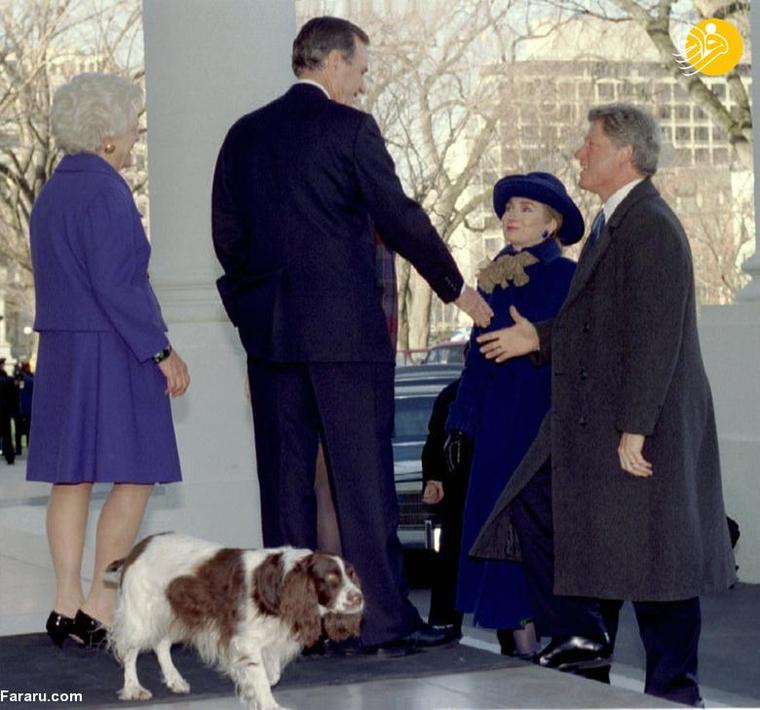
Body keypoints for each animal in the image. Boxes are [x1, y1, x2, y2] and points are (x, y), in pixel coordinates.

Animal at [105, 536, 364, 710]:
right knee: (129, 652)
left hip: (175, 614)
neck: (281, 582)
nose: (358, 598)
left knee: (161, 644)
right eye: (330, 578)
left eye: (351, 575)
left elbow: (271, 674)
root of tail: (137, 548)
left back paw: (175, 680)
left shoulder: (269, 638)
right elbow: (261, 677)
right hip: (141, 617)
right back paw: (134, 688)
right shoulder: (246, 640)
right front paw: (269, 704)